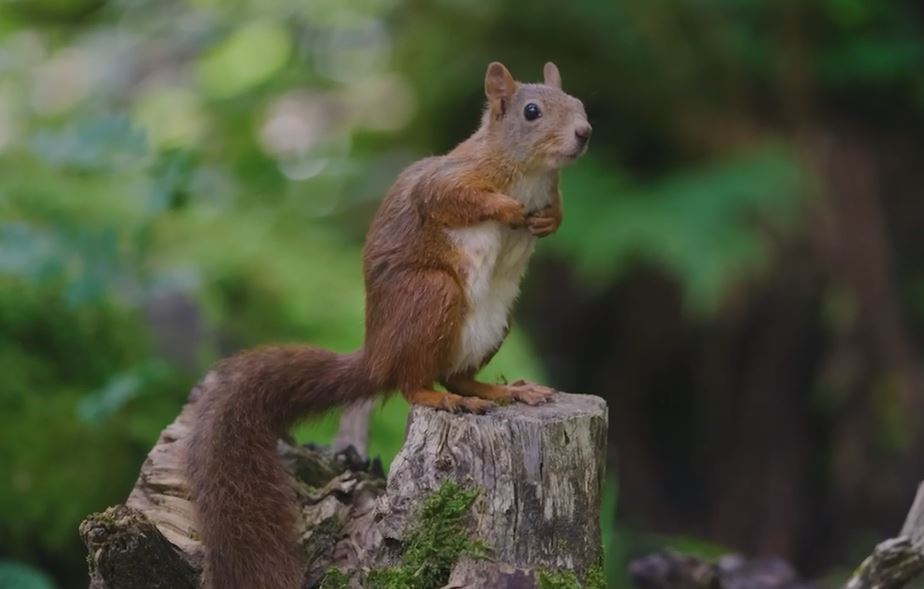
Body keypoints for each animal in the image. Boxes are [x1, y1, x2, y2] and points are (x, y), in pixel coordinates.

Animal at [187, 60, 592, 588]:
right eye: (531, 111)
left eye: (580, 104)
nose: (584, 133)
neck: (529, 172)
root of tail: (377, 353)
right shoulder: (452, 178)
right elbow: (449, 197)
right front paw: (507, 209)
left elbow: (556, 211)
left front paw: (549, 220)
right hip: (431, 295)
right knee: (412, 382)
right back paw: (441, 398)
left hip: (497, 319)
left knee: (458, 375)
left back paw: (502, 391)